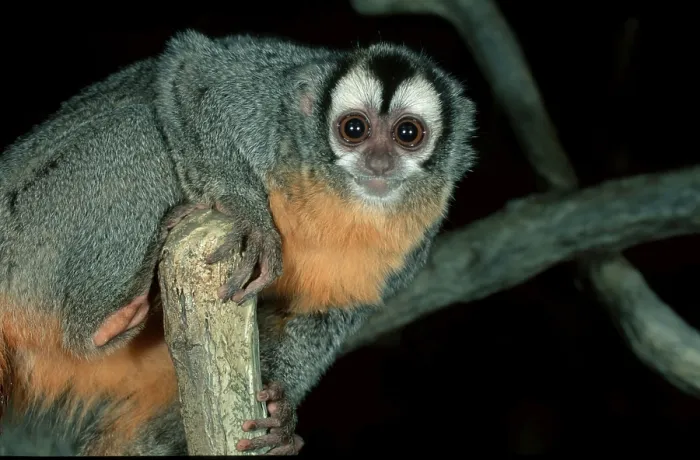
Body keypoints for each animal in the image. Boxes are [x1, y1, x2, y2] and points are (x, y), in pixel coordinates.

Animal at [0, 30, 476, 455]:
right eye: (354, 129)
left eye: (407, 134)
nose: (379, 162)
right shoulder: (270, 107)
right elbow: (193, 70)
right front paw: (253, 219)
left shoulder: (415, 246)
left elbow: (330, 314)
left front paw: (281, 412)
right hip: (31, 234)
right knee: (142, 124)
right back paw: (102, 324)